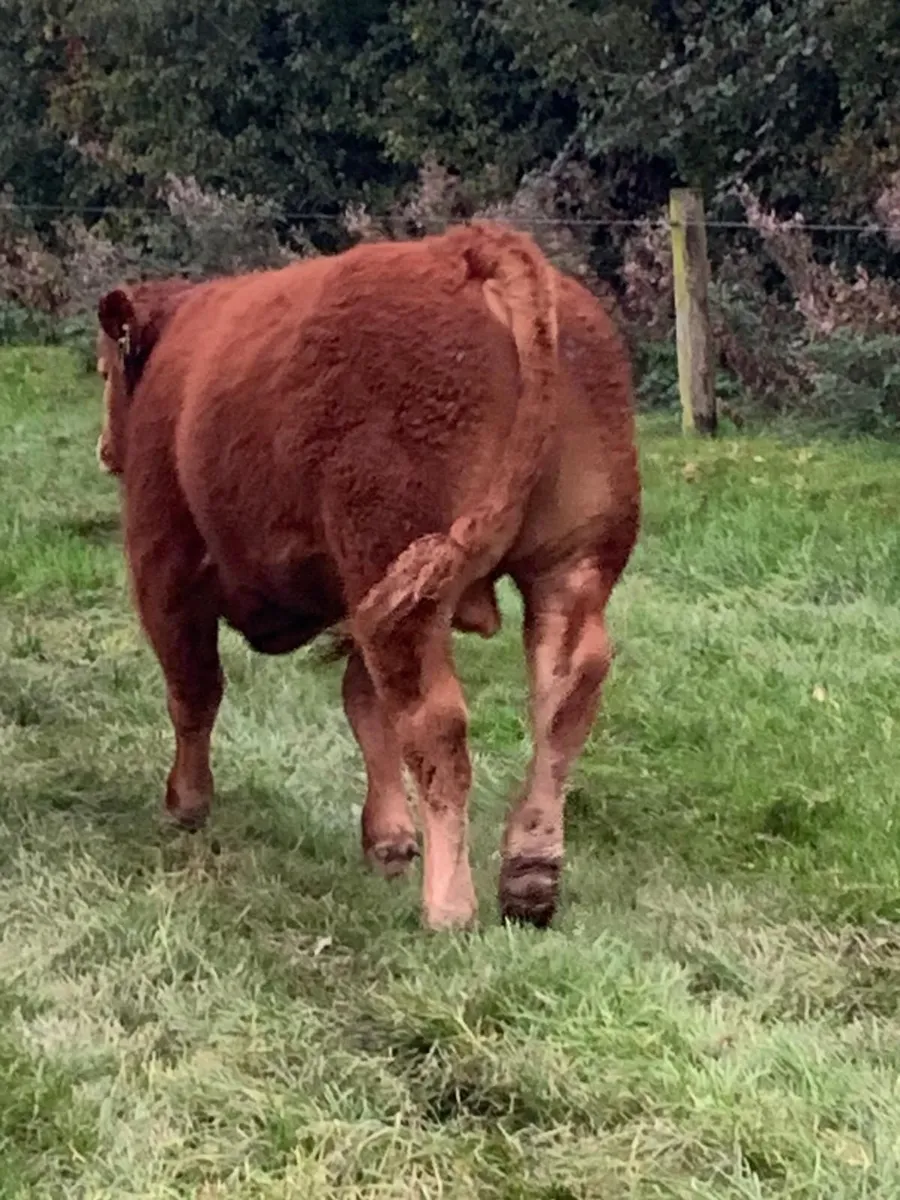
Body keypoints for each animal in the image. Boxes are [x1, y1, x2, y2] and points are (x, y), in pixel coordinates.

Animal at [94, 221, 640, 931]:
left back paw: (449, 905)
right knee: (565, 694)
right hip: (569, 567)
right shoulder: (360, 599)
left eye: (103, 368)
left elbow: (194, 691)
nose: (105, 449)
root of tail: (468, 248)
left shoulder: (165, 563)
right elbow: (364, 704)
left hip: (400, 566)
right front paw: (388, 838)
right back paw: (529, 876)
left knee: (436, 723)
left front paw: (186, 803)